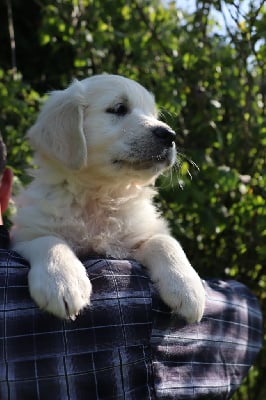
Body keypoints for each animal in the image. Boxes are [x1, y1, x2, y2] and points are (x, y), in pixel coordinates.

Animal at [11, 75, 206, 324]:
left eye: (154, 115)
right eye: (119, 108)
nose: (170, 136)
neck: (102, 193)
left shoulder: (134, 239)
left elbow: (165, 242)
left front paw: (188, 288)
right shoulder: (24, 234)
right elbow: (48, 240)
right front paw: (62, 282)